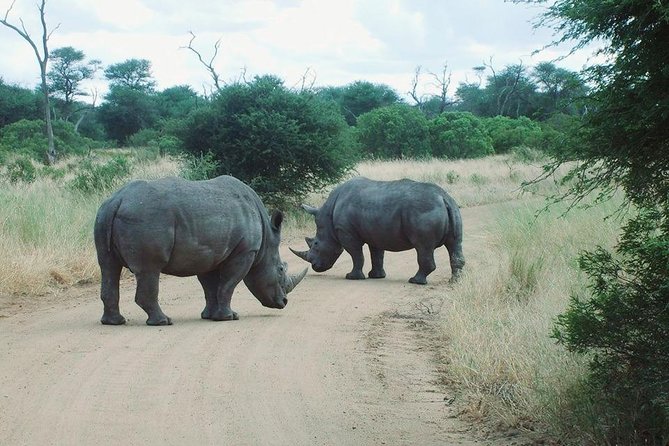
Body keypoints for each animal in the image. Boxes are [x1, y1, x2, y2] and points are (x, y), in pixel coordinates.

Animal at [94, 175, 307, 326]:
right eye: (280, 269)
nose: (284, 302)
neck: (265, 242)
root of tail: (117, 200)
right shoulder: (245, 251)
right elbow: (229, 284)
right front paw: (229, 317)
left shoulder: (209, 254)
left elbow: (210, 287)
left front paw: (209, 316)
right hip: (147, 217)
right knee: (149, 269)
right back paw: (163, 321)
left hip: (103, 215)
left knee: (108, 267)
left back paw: (114, 322)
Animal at [290, 177, 464, 285]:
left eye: (316, 244)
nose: (315, 266)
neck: (328, 217)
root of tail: (443, 198)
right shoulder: (376, 232)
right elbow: (377, 254)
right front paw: (376, 276)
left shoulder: (347, 232)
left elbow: (356, 254)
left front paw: (352, 277)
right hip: (453, 208)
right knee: (454, 243)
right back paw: (455, 282)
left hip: (423, 211)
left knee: (423, 247)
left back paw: (415, 281)